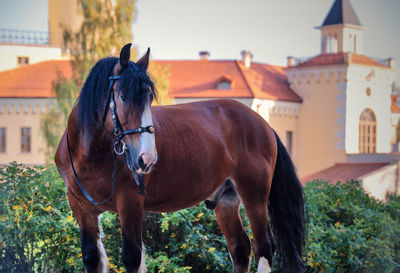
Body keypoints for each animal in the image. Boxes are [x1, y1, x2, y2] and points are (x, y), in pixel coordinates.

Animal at [54, 43, 306, 272]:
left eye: (149, 98)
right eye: (123, 97)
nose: (147, 158)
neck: (90, 155)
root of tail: (263, 123)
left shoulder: (130, 202)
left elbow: (132, 257)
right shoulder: (81, 208)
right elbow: (91, 257)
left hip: (254, 194)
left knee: (264, 247)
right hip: (226, 199)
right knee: (240, 247)